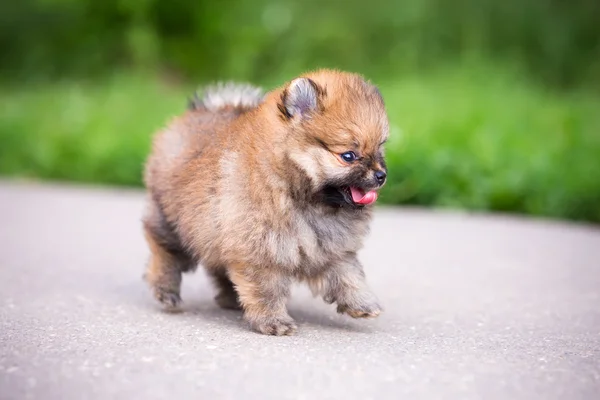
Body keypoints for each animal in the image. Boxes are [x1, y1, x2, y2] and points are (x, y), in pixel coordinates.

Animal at [144, 69, 392, 334]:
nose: (381, 175)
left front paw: (362, 303)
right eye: (348, 156)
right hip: (169, 219)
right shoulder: (262, 249)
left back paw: (231, 300)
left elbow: (348, 274)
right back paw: (166, 292)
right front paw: (274, 321)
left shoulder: (331, 246)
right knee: (165, 253)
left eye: (379, 149)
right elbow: (267, 289)